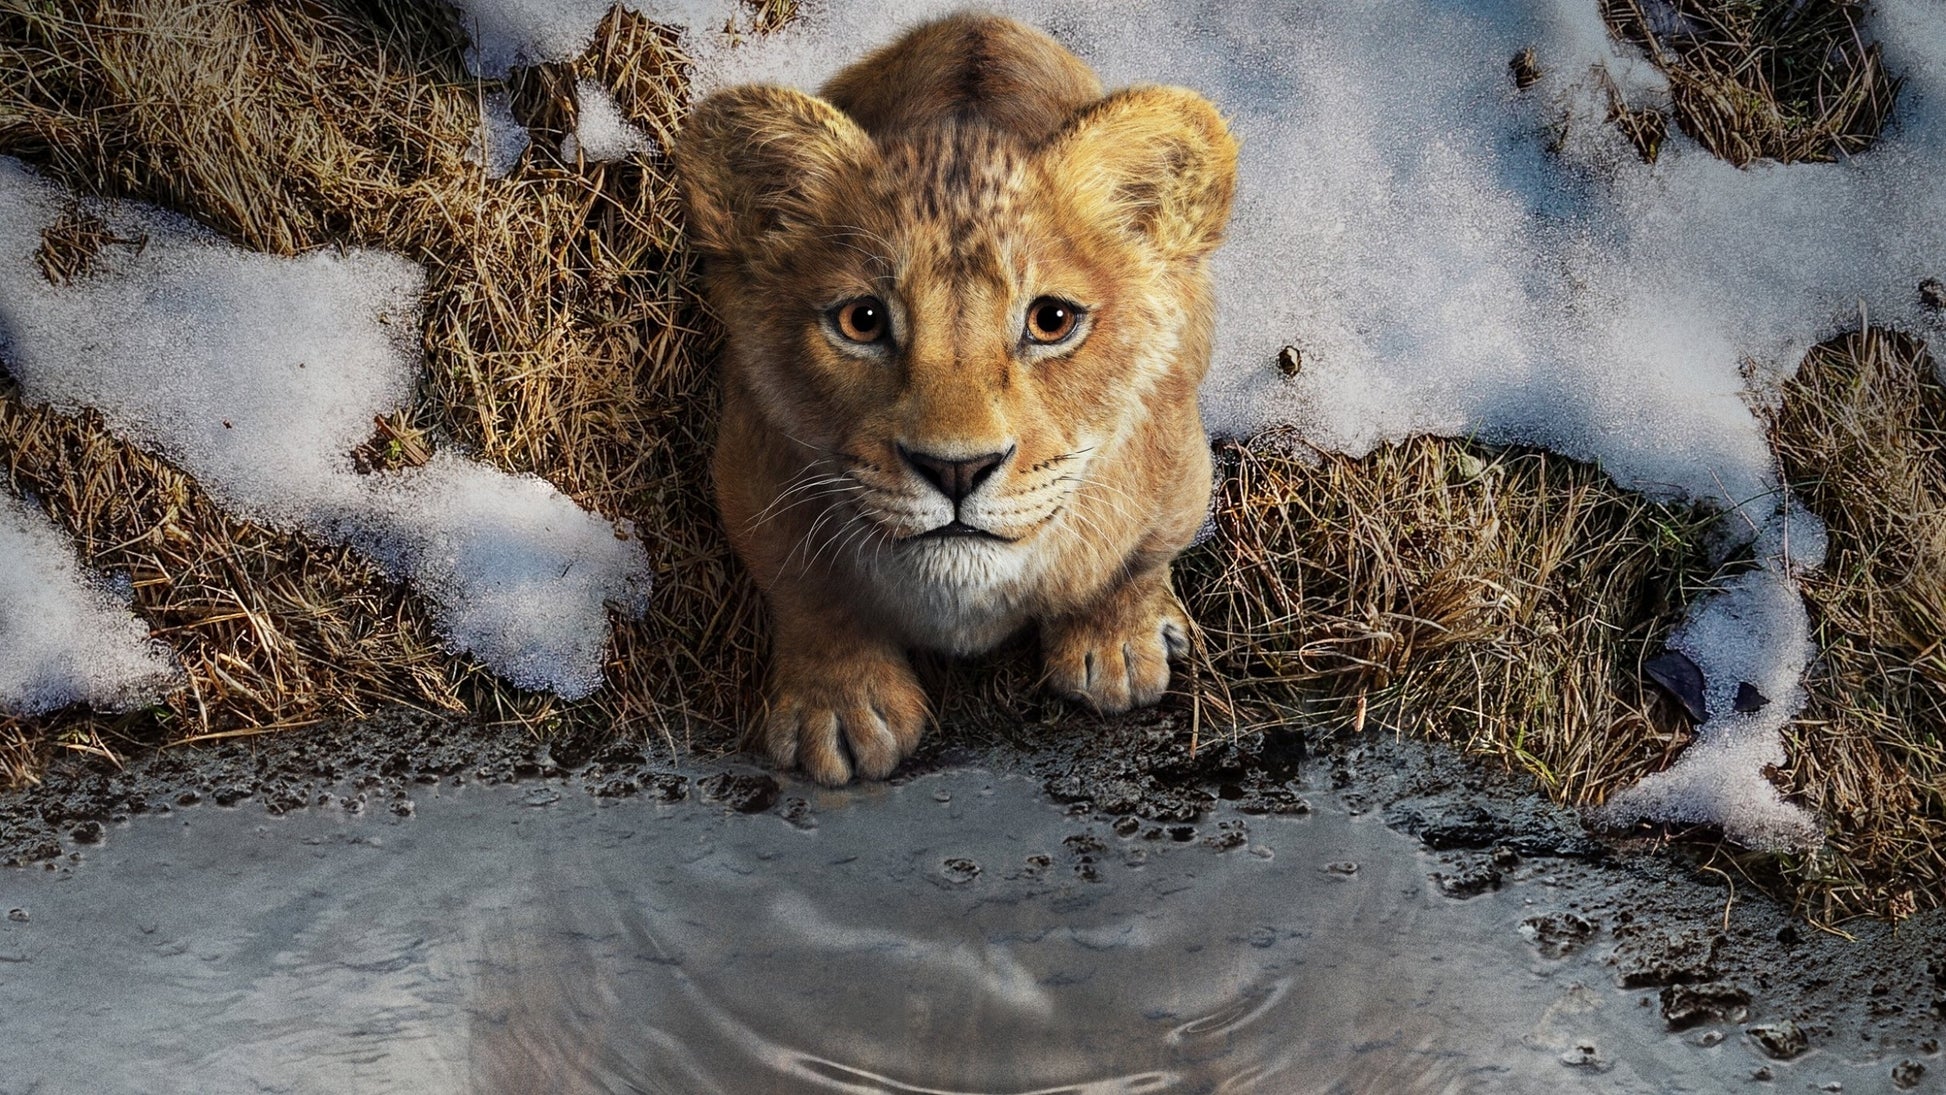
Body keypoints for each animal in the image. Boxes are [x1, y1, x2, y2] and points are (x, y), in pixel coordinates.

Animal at [675, 12, 1238, 784]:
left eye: (1051, 320)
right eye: (862, 321)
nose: (956, 470)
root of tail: (978, 19)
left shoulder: (1179, 467)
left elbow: (1135, 560)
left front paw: (1117, 647)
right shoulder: (749, 468)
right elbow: (808, 592)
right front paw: (840, 708)